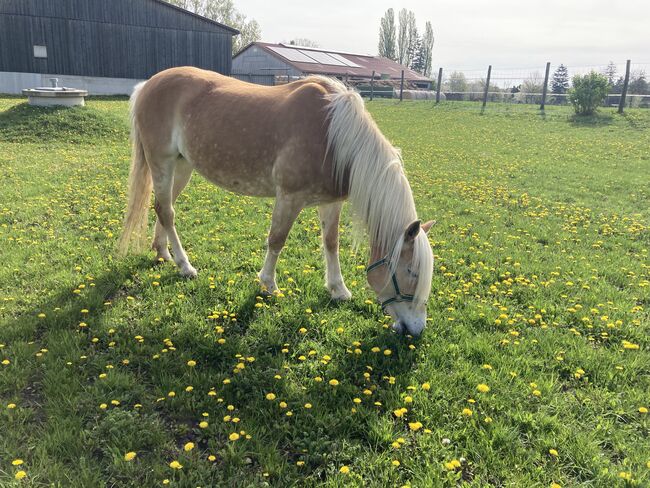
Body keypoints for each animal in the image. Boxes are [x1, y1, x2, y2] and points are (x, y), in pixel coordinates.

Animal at [117, 66, 430, 336]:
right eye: (412, 272)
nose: (416, 330)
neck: (333, 136)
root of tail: (147, 85)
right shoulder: (289, 198)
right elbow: (277, 240)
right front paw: (269, 285)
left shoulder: (330, 203)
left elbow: (331, 243)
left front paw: (338, 290)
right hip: (162, 162)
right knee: (167, 212)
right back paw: (185, 266)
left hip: (181, 166)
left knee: (162, 208)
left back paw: (162, 253)